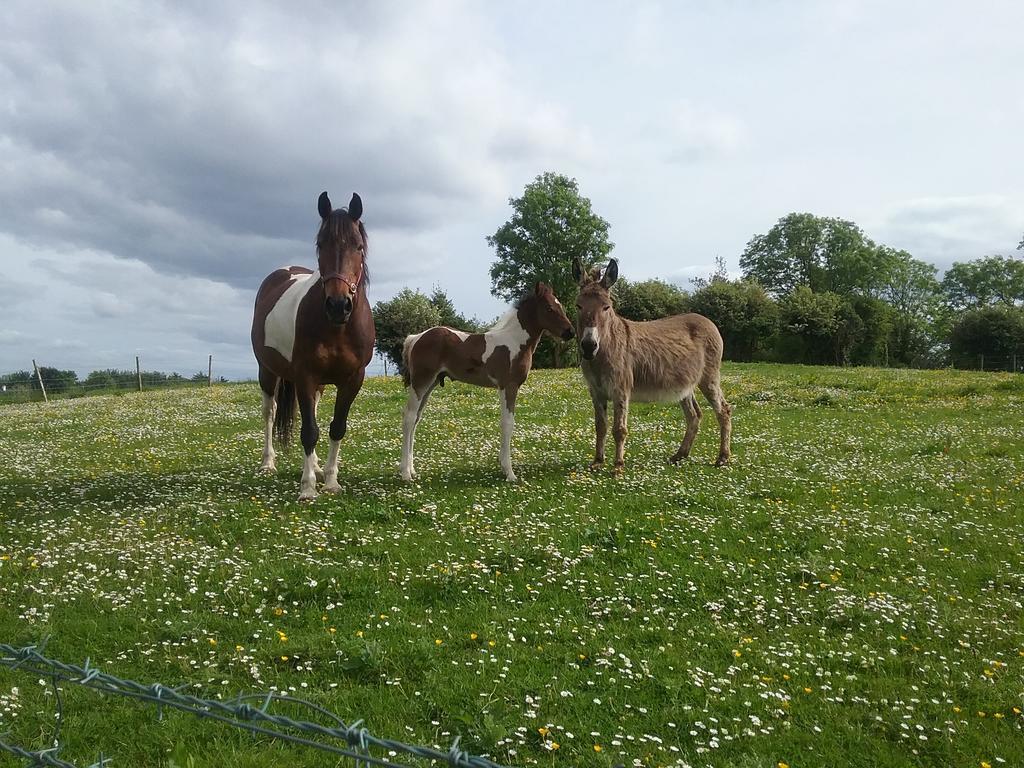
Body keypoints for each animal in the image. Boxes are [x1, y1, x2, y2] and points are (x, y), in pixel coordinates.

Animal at [251, 192, 376, 501]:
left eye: (358, 246)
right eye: (321, 244)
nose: (338, 305)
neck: (337, 328)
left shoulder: (352, 380)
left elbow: (336, 428)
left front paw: (330, 481)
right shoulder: (305, 376)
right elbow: (309, 431)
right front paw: (307, 488)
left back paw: (317, 466)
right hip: (267, 372)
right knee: (269, 413)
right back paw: (268, 463)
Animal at [399, 286, 577, 481]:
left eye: (561, 307)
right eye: (549, 308)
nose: (570, 332)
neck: (515, 342)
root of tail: (416, 338)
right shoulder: (508, 386)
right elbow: (507, 423)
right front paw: (509, 472)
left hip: (430, 385)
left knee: (416, 419)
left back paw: (412, 470)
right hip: (421, 382)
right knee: (409, 417)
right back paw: (405, 473)